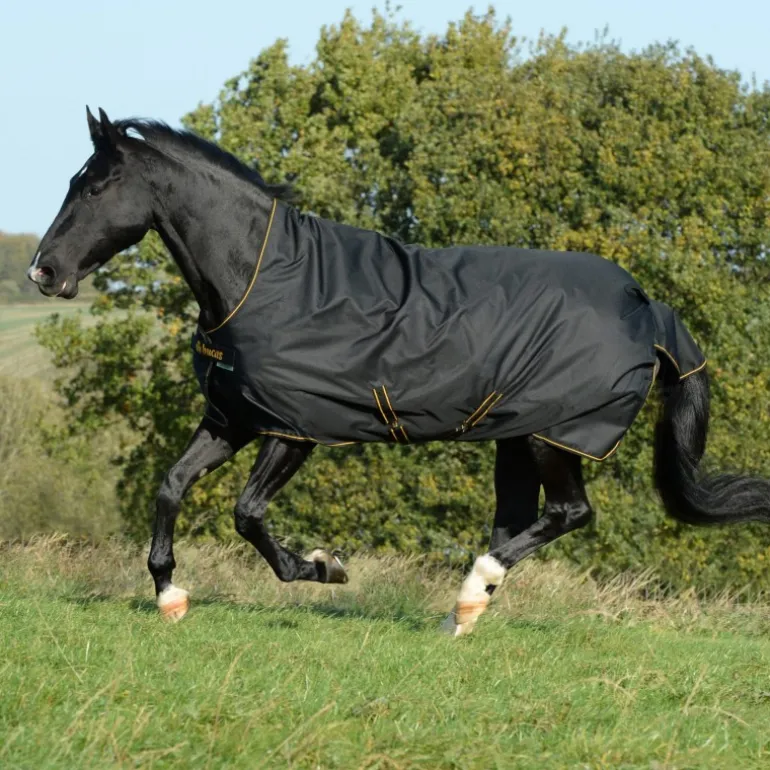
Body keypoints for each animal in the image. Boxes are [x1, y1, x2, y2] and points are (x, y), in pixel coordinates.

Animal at [29, 108, 770, 636]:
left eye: (95, 185)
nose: (43, 270)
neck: (261, 278)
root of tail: (648, 307)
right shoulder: (234, 417)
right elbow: (170, 486)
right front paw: (170, 596)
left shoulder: (293, 429)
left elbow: (246, 513)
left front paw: (322, 567)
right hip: (513, 436)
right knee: (519, 519)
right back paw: (464, 613)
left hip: (553, 435)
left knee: (569, 513)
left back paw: (469, 592)